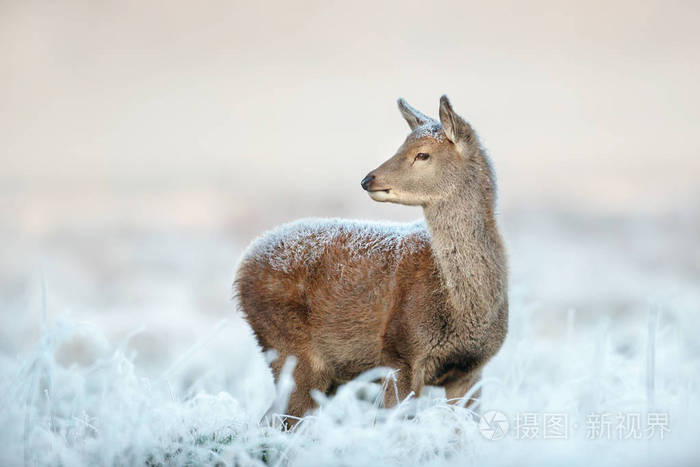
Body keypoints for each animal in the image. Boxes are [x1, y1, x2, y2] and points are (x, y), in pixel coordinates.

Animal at [235, 95, 508, 424]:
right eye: (401, 146)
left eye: (423, 154)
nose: (368, 179)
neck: (463, 308)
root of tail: (242, 266)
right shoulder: (399, 353)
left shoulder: (471, 370)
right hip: (290, 350)